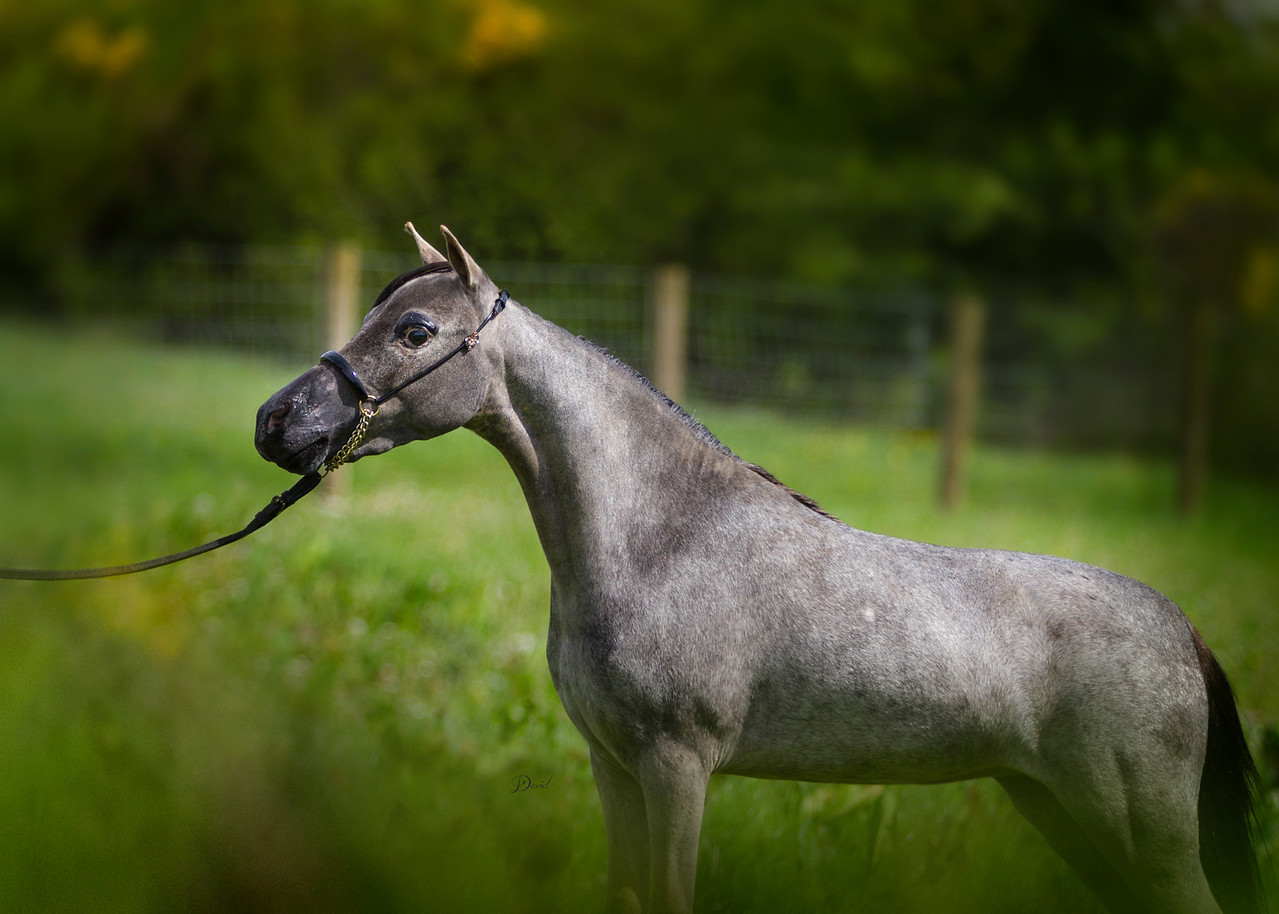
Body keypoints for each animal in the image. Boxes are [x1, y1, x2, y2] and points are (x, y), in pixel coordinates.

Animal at [254, 223, 1262, 914]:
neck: (661, 538)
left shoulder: (676, 767)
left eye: (415, 330)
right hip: (1066, 816)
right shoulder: (612, 767)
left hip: (1141, 833)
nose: (277, 420)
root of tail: (1180, 628)